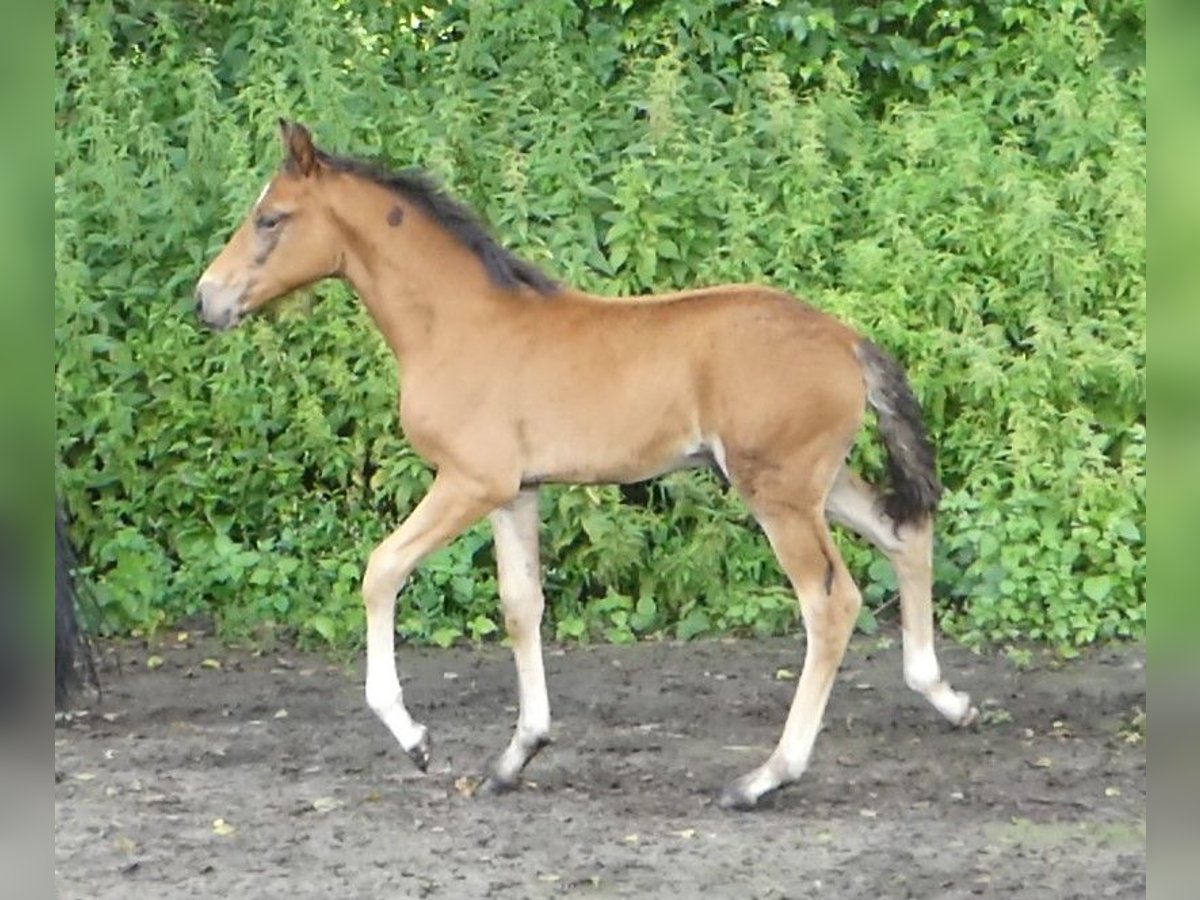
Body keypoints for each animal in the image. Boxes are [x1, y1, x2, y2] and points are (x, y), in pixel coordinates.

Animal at [189, 120, 974, 811]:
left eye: (271, 218)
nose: (206, 299)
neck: (456, 325)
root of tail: (846, 341)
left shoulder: (470, 483)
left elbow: (382, 569)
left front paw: (414, 738)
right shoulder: (517, 493)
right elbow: (522, 606)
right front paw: (516, 755)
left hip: (778, 493)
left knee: (830, 602)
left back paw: (764, 779)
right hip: (816, 482)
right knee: (904, 533)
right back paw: (947, 698)